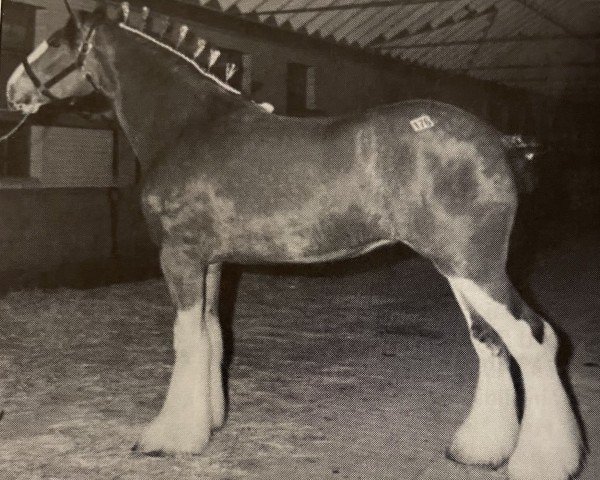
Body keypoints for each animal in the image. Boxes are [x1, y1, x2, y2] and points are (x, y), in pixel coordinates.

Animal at [5, 1, 584, 478]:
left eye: (54, 41)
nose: (13, 89)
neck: (190, 125)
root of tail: (501, 141)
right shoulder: (213, 263)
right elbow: (212, 336)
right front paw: (210, 422)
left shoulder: (180, 257)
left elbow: (187, 340)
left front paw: (170, 438)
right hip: (458, 265)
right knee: (490, 341)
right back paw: (479, 449)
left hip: (473, 263)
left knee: (533, 338)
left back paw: (542, 461)